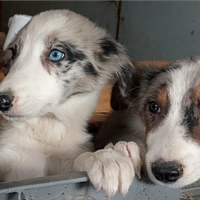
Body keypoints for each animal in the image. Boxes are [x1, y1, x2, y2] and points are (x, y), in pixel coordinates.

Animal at [0, 9, 136, 197]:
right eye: (14, 53)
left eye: (56, 54)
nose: (1, 100)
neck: (48, 129)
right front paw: (107, 158)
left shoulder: (66, 164)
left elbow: (78, 161)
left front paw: (105, 157)